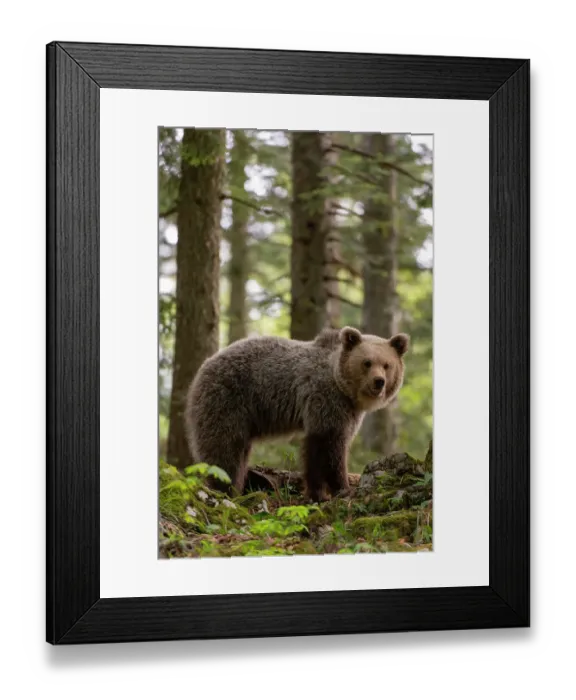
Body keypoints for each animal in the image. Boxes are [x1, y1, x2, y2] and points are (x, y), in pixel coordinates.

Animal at [184, 326, 410, 502]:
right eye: (367, 363)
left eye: (387, 365)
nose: (378, 382)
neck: (345, 390)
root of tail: (203, 367)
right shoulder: (325, 400)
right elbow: (329, 448)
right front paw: (341, 488)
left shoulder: (348, 413)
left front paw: (318, 493)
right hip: (228, 399)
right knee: (224, 447)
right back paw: (224, 489)